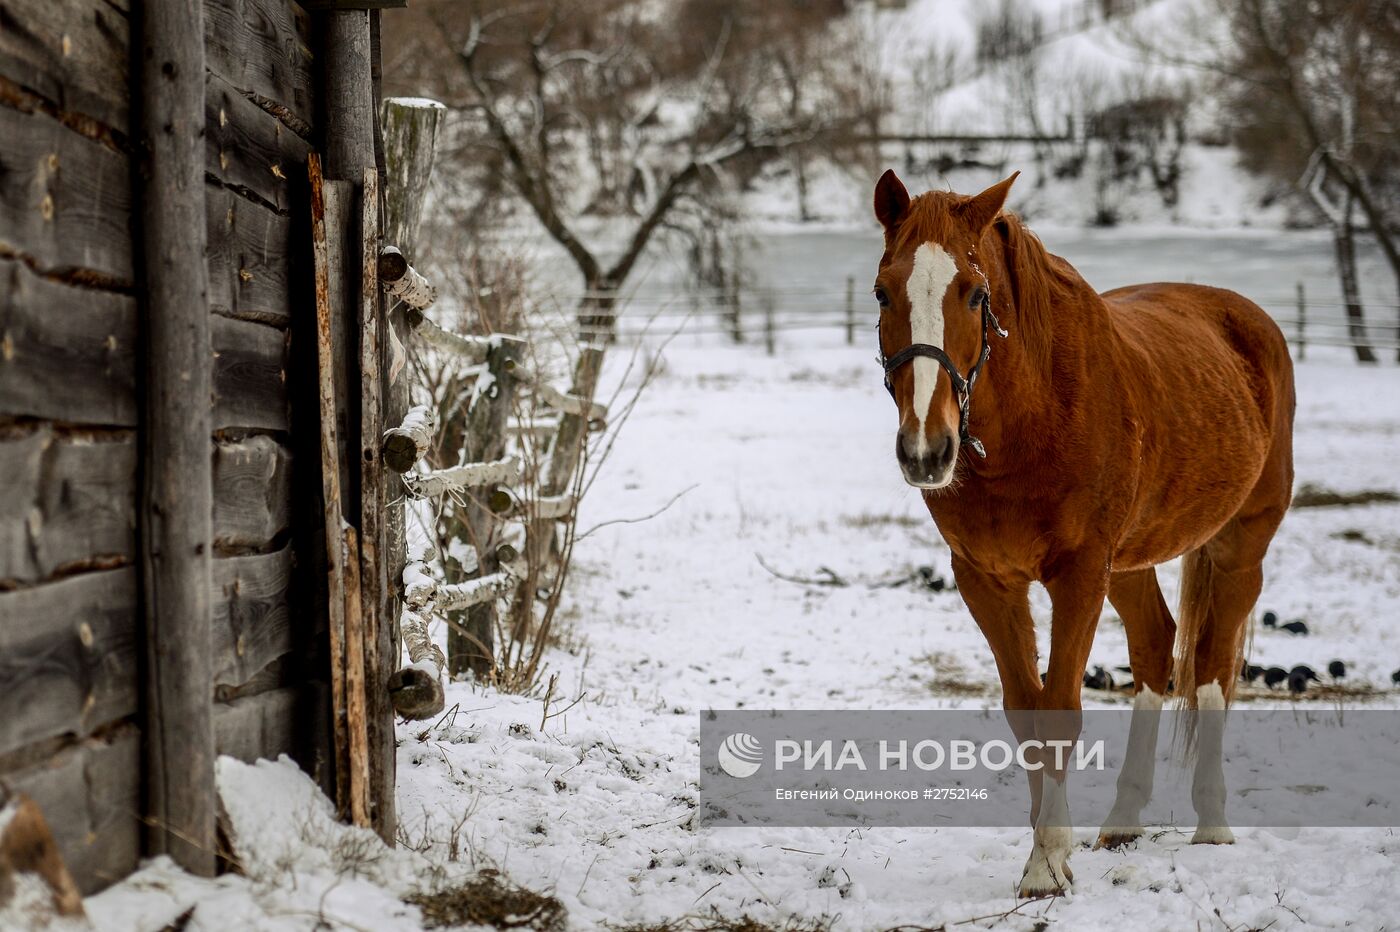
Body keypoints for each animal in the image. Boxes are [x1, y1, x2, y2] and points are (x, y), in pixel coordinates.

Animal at [868, 170, 1293, 895]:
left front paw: (1045, 864)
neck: (1032, 418)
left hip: (1241, 546)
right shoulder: (985, 580)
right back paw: (1122, 820)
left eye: (974, 292)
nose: (927, 449)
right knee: (1156, 649)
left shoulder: (1078, 574)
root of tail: (1246, 319)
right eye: (882, 290)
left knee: (1210, 668)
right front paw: (1053, 852)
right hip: (1130, 565)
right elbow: (1026, 709)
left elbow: (1061, 709)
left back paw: (1212, 824)